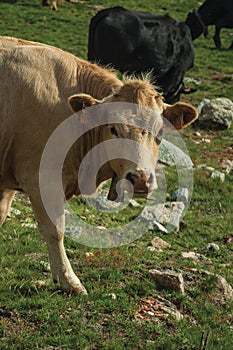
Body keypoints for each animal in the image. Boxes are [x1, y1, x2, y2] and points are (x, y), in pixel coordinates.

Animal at [0, 35, 198, 294]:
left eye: (160, 132)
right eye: (113, 129)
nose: (141, 179)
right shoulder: (41, 180)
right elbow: (55, 231)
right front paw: (70, 281)